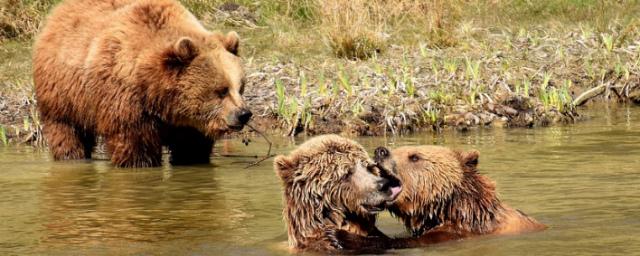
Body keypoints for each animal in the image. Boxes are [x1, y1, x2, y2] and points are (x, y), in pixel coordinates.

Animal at [33, 0, 251, 168]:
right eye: (221, 91)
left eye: (240, 87)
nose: (244, 114)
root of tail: (58, 11)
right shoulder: (127, 101)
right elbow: (135, 145)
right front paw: (139, 162)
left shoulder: (189, 123)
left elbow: (191, 147)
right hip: (64, 93)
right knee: (67, 131)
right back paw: (72, 156)